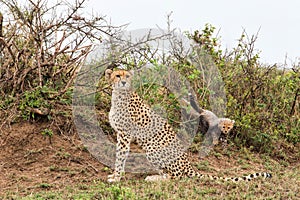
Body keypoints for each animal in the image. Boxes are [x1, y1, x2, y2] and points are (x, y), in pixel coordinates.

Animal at [105, 69, 272, 183]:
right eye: (117, 76)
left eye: (127, 76)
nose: (124, 82)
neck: (118, 96)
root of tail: (188, 165)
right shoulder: (121, 134)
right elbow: (119, 155)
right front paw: (115, 175)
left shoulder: (125, 134)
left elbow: (120, 156)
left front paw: (116, 177)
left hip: (153, 148)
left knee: (175, 176)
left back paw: (153, 178)